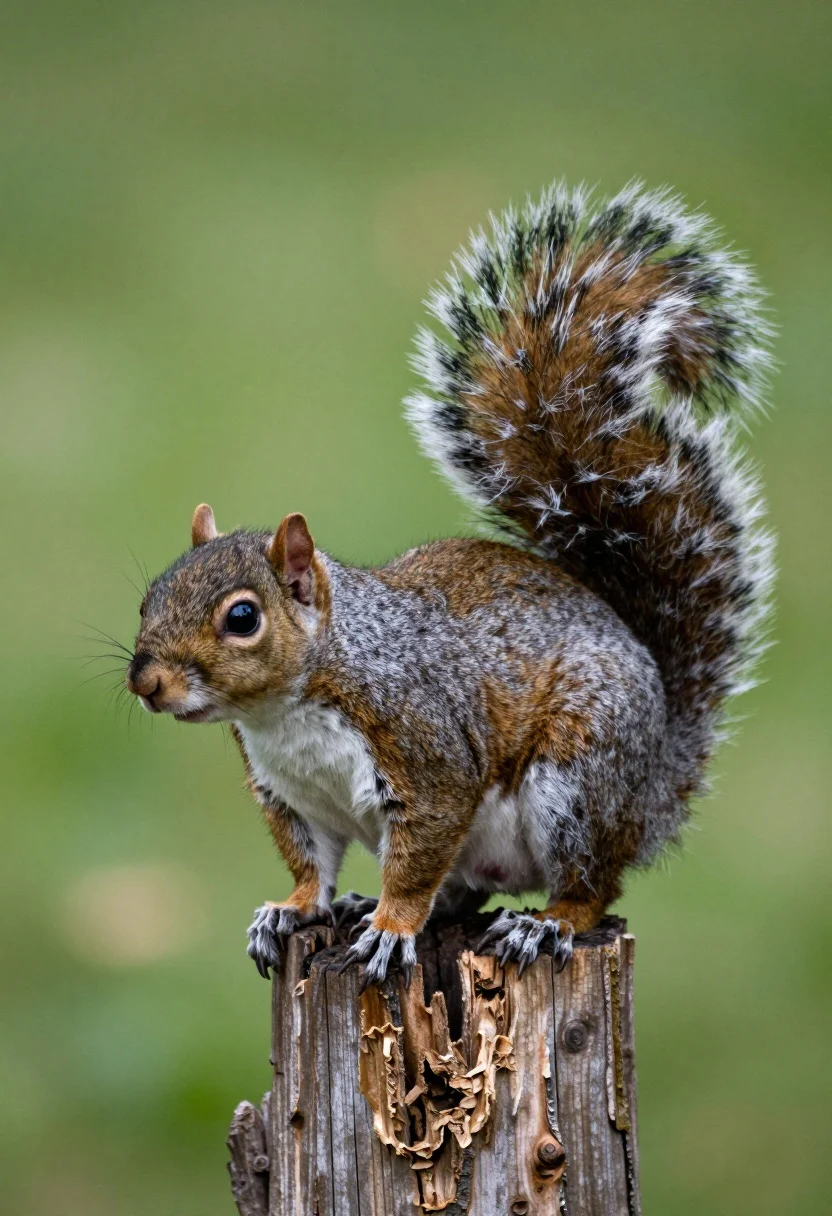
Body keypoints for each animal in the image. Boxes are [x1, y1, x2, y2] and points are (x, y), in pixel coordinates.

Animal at [126, 181, 774, 988]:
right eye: (149, 597)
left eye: (242, 618)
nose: (146, 682)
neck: (290, 712)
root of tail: (653, 790)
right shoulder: (288, 795)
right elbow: (309, 865)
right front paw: (293, 909)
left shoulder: (428, 758)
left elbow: (417, 861)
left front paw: (392, 927)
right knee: (467, 889)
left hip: (579, 778)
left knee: (592, 885)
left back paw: (544, 924)